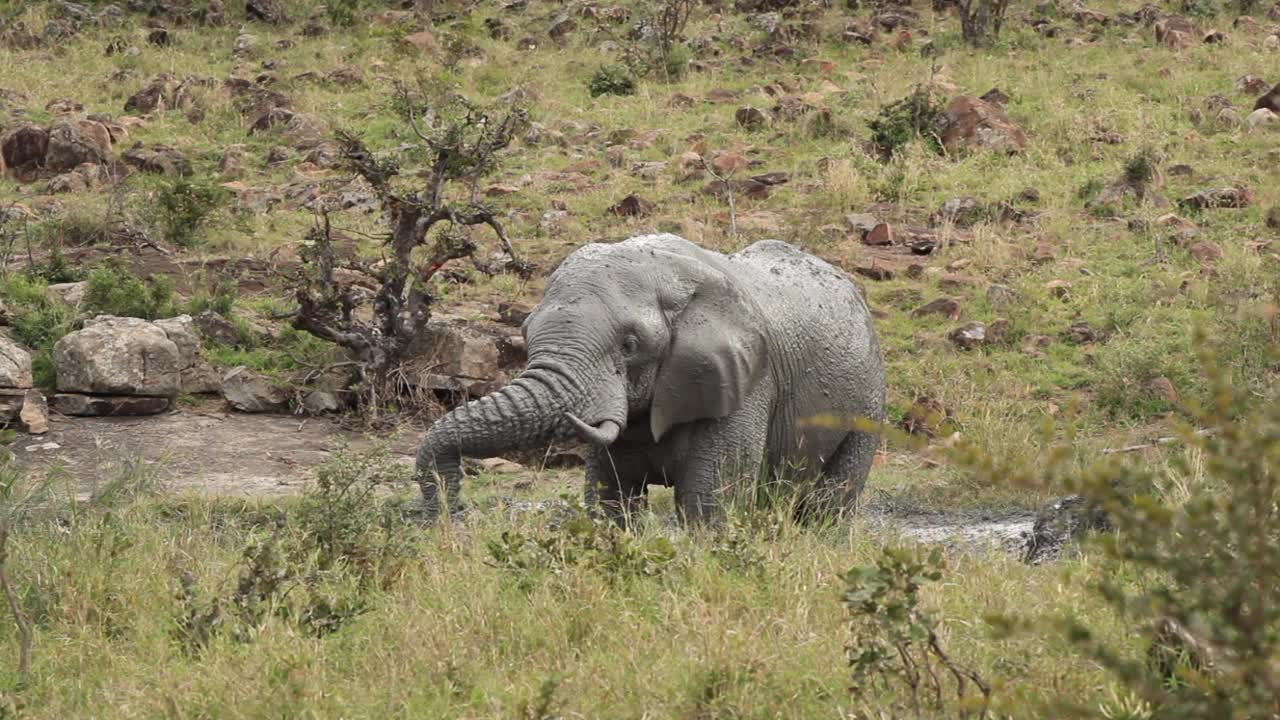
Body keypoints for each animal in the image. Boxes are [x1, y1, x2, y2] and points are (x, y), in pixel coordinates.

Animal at [414, 233, 885, 525]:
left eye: (629, 344)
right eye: (526, 334)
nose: (452, 518)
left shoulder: (747, 383)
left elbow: (707, 500)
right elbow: (610, 497)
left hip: (870, 398)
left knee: (832, 500)